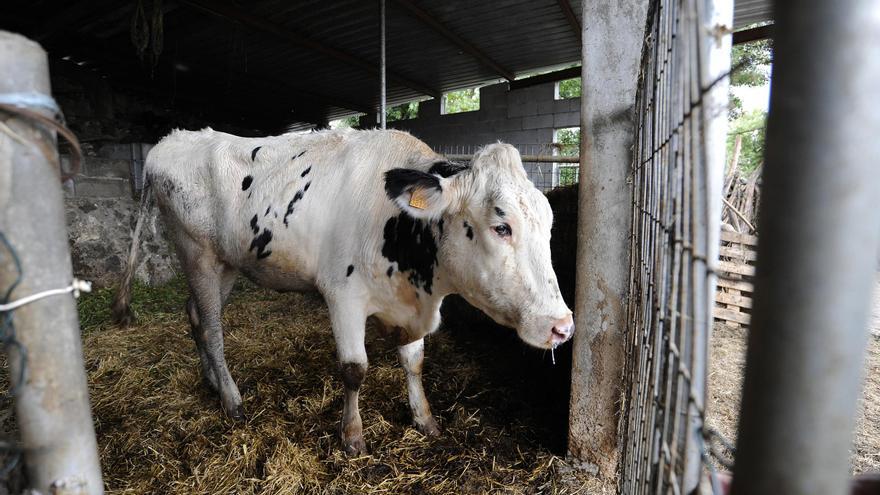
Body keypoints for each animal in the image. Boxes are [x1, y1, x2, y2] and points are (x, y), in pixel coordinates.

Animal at [110, 127, 576, 454]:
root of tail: (168, 141)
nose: (561, 326)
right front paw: (352, 436)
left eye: (550, 223)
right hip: (198, 256)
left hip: (226, 264)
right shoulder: (343, 297)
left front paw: (424, 419)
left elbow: (413, 362)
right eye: (501, 226)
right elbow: (354, 369)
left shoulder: (411, 301)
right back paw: (231, 399)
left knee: (195, 316)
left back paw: (210, 380)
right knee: (211, 329)